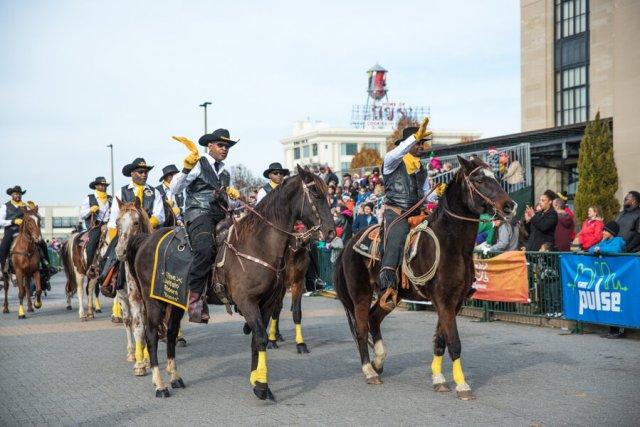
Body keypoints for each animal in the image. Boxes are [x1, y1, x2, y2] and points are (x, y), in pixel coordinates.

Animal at [124, 166, 336, 400]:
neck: (257, 244)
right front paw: (262, 386)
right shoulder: (247, 301)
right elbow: (261, 338)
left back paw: (175, 377)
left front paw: (256, 379)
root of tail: (146, 239)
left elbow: (257, 340)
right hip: (153, 300)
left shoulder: (267, 302)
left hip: (175, 300)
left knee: (170, 334)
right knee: (151, 335)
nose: (331, 231)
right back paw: (159, 384)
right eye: (315, 193)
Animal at [336, 156, 516, 402]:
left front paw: (439, 379)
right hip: (361, 295)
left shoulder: (454, 301)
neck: (451, 243)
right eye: (479, 180)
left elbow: (440, 340)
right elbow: (454, 342)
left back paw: (378, 362)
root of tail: (348, 245)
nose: (509, 206)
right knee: (361, 329)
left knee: (373, 319)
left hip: (391, 295)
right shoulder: (443, 299)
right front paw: (462, 386)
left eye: (496, 177)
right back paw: (369, 371)